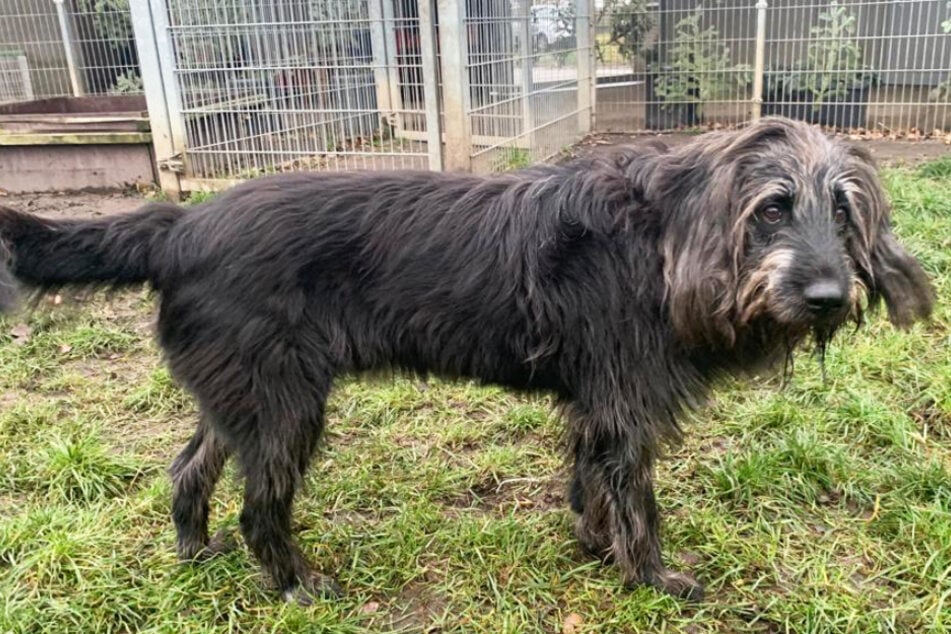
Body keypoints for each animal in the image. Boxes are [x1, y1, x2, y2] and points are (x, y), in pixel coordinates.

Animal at [0, 117, 936, 596]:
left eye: (844, 210)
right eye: (771, 207)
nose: (827, 297)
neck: (665, 241)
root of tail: (178, 225)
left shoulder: (593, 407)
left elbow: (589, 486)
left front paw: (593, 549)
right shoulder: (624, 408)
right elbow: (637, 503)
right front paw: (651, 579)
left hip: (238, 401)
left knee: (189, 467)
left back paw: (196, 556)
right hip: (285, 410)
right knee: (260, 505)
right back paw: (294, 587)